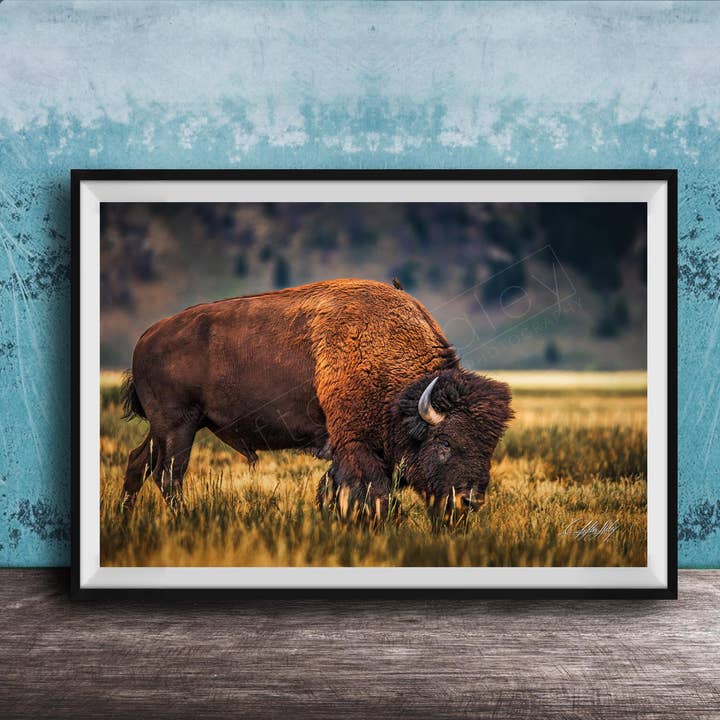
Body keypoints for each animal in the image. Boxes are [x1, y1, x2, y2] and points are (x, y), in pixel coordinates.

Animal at [121, 278, 513, 520]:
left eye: (489, 446)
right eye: (445, 442)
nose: (469, 501)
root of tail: (146, 337)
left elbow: (334, 490)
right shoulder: (356, 446)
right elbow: (373, 495)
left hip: (165, 428)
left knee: (138, 462)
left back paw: (125, 518)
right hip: (178, 426)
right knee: (169, 475)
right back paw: (182, 519)